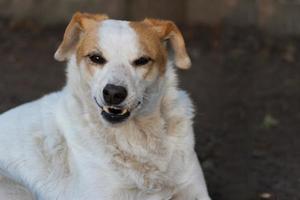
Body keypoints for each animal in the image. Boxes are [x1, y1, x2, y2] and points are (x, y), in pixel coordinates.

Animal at [0, 12, 211, 200]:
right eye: (96, 58)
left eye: (142, 60)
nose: (113, 93)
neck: (137, 139)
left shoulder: (195, 191)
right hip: (17, 190)